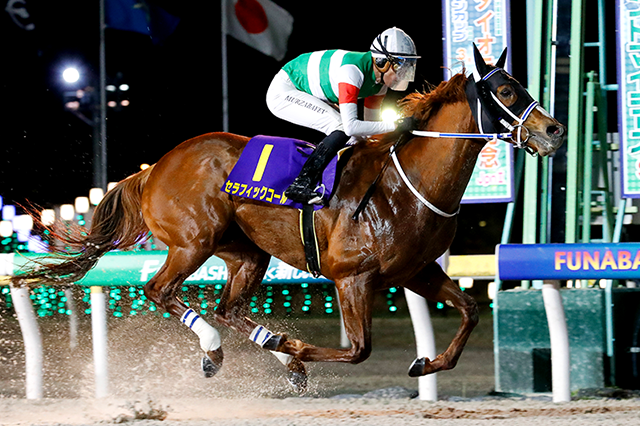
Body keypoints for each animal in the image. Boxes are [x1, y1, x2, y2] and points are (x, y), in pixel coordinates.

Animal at [15, 46, 565, 390]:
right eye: (508, 92)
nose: (555, 130)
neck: (409, 182)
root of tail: (152, 170)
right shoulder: (352, 277)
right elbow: (359, 349)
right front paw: (294, 345)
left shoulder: (416, 270)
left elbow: (470, 311)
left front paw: (427, 361)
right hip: (193, 242)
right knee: (161, 290)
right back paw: (230, 348)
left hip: (246, 252)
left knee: (228, 308)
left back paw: (263, 352)